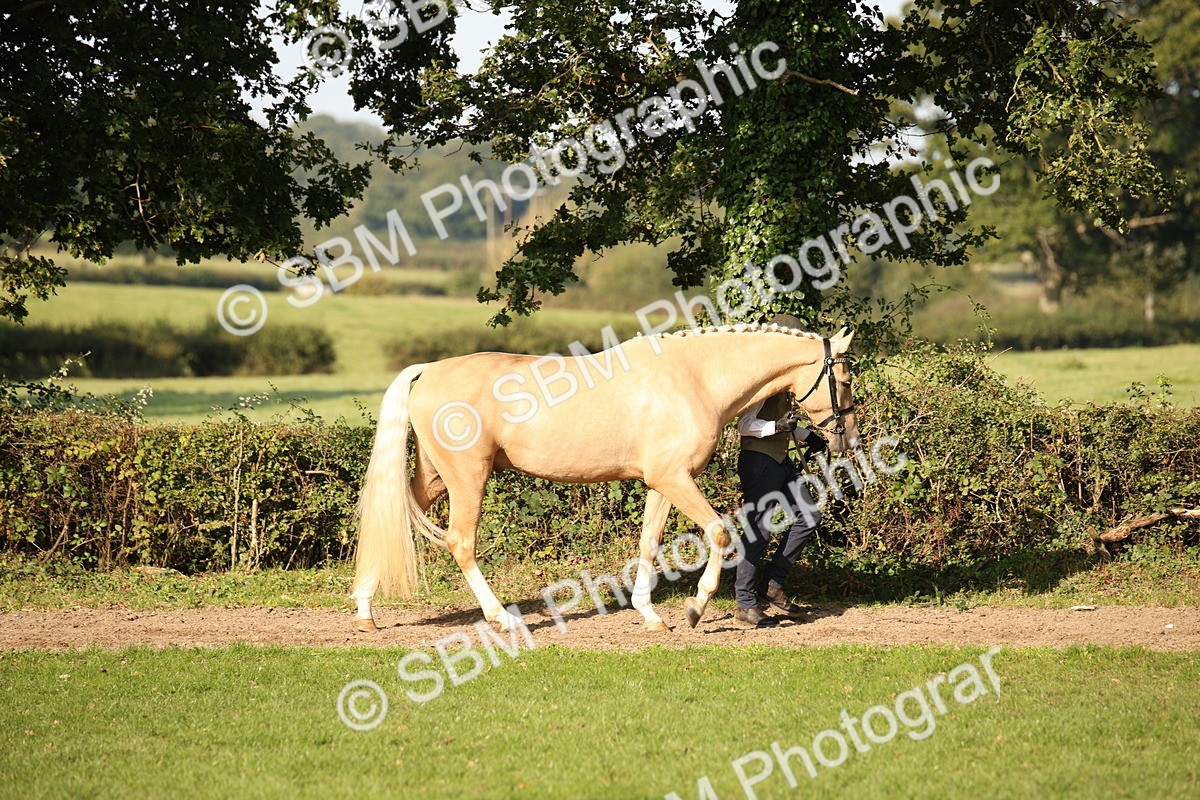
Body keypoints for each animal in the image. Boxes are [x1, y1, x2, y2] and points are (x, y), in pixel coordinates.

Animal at [350, 322, 860, 633]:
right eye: (846, 379)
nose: (848, 439)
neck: (693, 377)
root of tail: (428, 370)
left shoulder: (662, 483)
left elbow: (649, 542)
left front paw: (650, 614)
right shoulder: (676, 480)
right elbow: (718, 532)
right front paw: (696, 608)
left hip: (437, 478)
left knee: (391, 519)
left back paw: (364, 611)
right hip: (467, 479)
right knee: (461, 542)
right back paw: (503, 620)